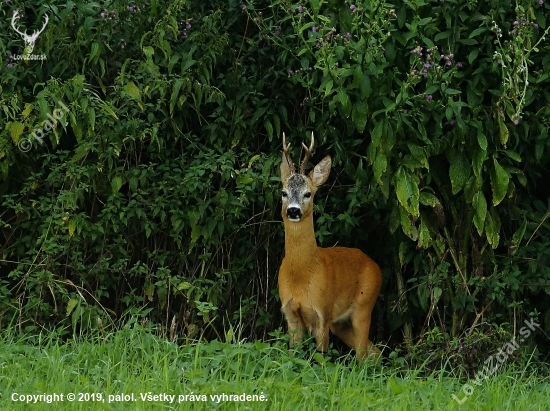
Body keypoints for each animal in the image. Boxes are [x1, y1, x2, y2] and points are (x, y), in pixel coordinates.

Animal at [280, 133, 384, 360]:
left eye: (308, 193)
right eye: (283, 192)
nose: (293, 210)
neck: (302, 276)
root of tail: (375, 265)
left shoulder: (322, 313)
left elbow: (321, 359)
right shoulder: (290, 314)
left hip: (364, 306)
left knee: (363, 354)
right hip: (340, 323)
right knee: (374, 352)